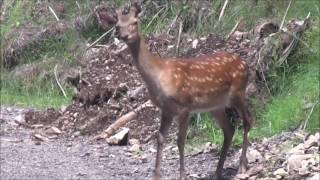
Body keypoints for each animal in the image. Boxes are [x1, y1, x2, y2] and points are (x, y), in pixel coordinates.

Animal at [114, 3, 252, 179]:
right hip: (216, 106)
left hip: (238, 92)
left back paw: (241, 166)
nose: (124, 35)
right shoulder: (167, 109)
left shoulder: (185, 105)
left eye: (135, 22)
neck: (160, 76)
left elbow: (180, 141)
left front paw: (182, 175)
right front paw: (157, 175)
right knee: (229, 129)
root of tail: (246, 64)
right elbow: (160, 138)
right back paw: (218, 171)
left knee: (247, 120)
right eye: (117, 25)